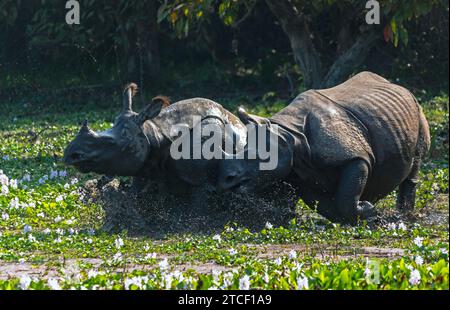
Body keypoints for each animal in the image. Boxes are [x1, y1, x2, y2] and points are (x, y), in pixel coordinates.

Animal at [219, 71, 432, 224]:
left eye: (259, 158)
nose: (226, 178)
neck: (290, 137)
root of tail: (400, 87)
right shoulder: (299, 172)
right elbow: (328, 206)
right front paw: (367, 211)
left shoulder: (356, 157)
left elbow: (345, 197)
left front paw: (369, 211)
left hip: (418, 112)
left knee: (415, 164)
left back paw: (404, 217)